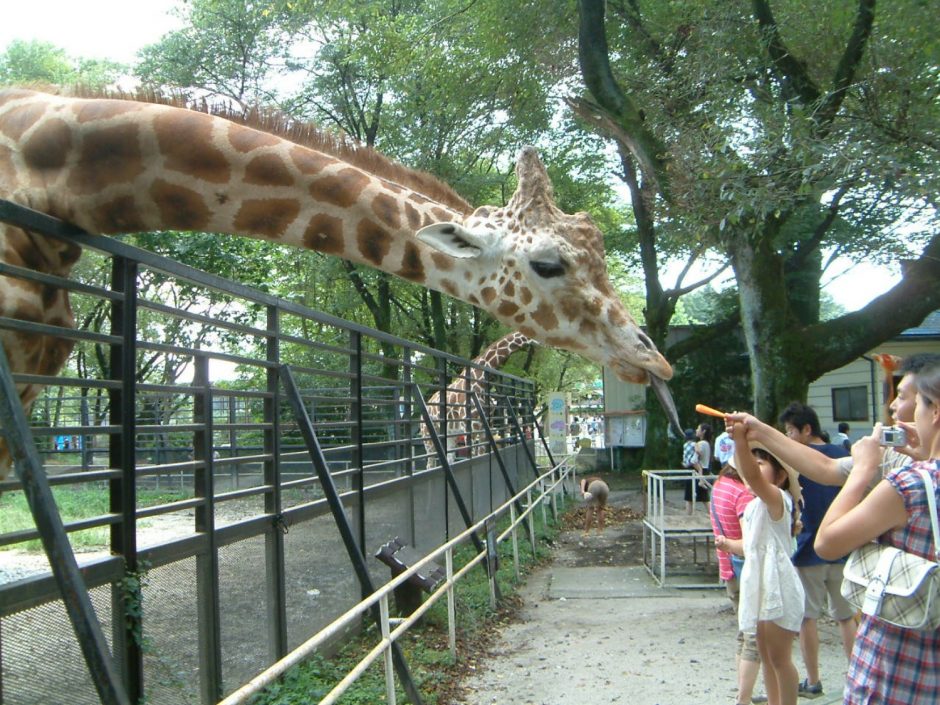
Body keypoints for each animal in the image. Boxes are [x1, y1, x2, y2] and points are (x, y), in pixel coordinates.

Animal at [422, 332, 532, 464]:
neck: (480, 380)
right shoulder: (471, 426)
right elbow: (474, 456)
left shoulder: (484, 426)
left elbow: (482, 454)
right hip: (427, 436)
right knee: (430, 462)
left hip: (450, 435)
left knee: (449, 458)